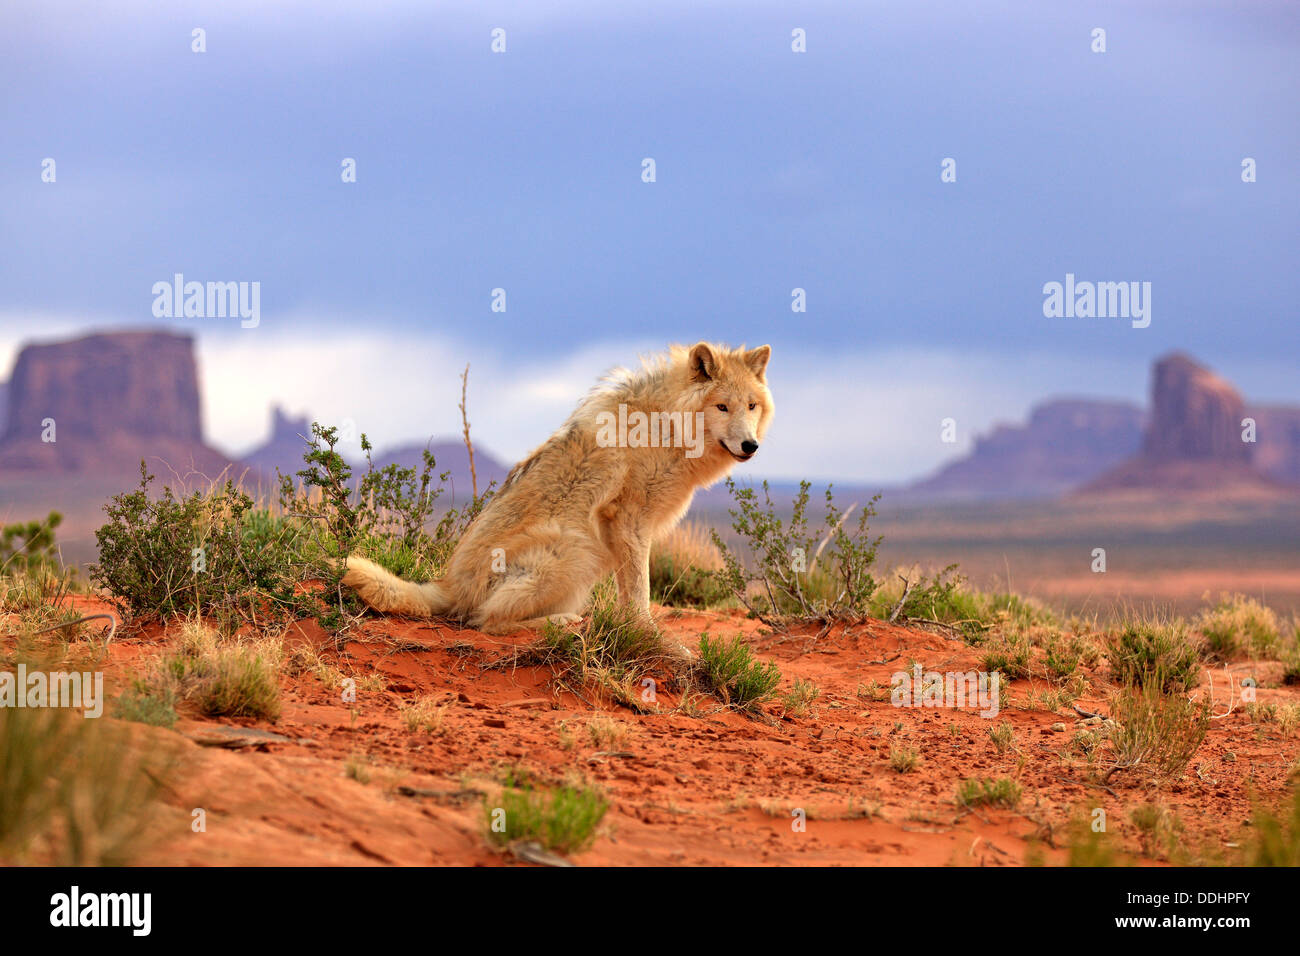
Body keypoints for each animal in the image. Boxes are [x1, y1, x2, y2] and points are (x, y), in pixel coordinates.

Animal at [340, 340, 774, 639]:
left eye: (751, 406)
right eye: (722, 407)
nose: (750, 446)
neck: (666, 426)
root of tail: (449, 587)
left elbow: (633, 594)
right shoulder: (628, 523)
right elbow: (640, 595)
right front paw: (655, 641)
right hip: (575, 550)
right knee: (485, 622)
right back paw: (562, 622)